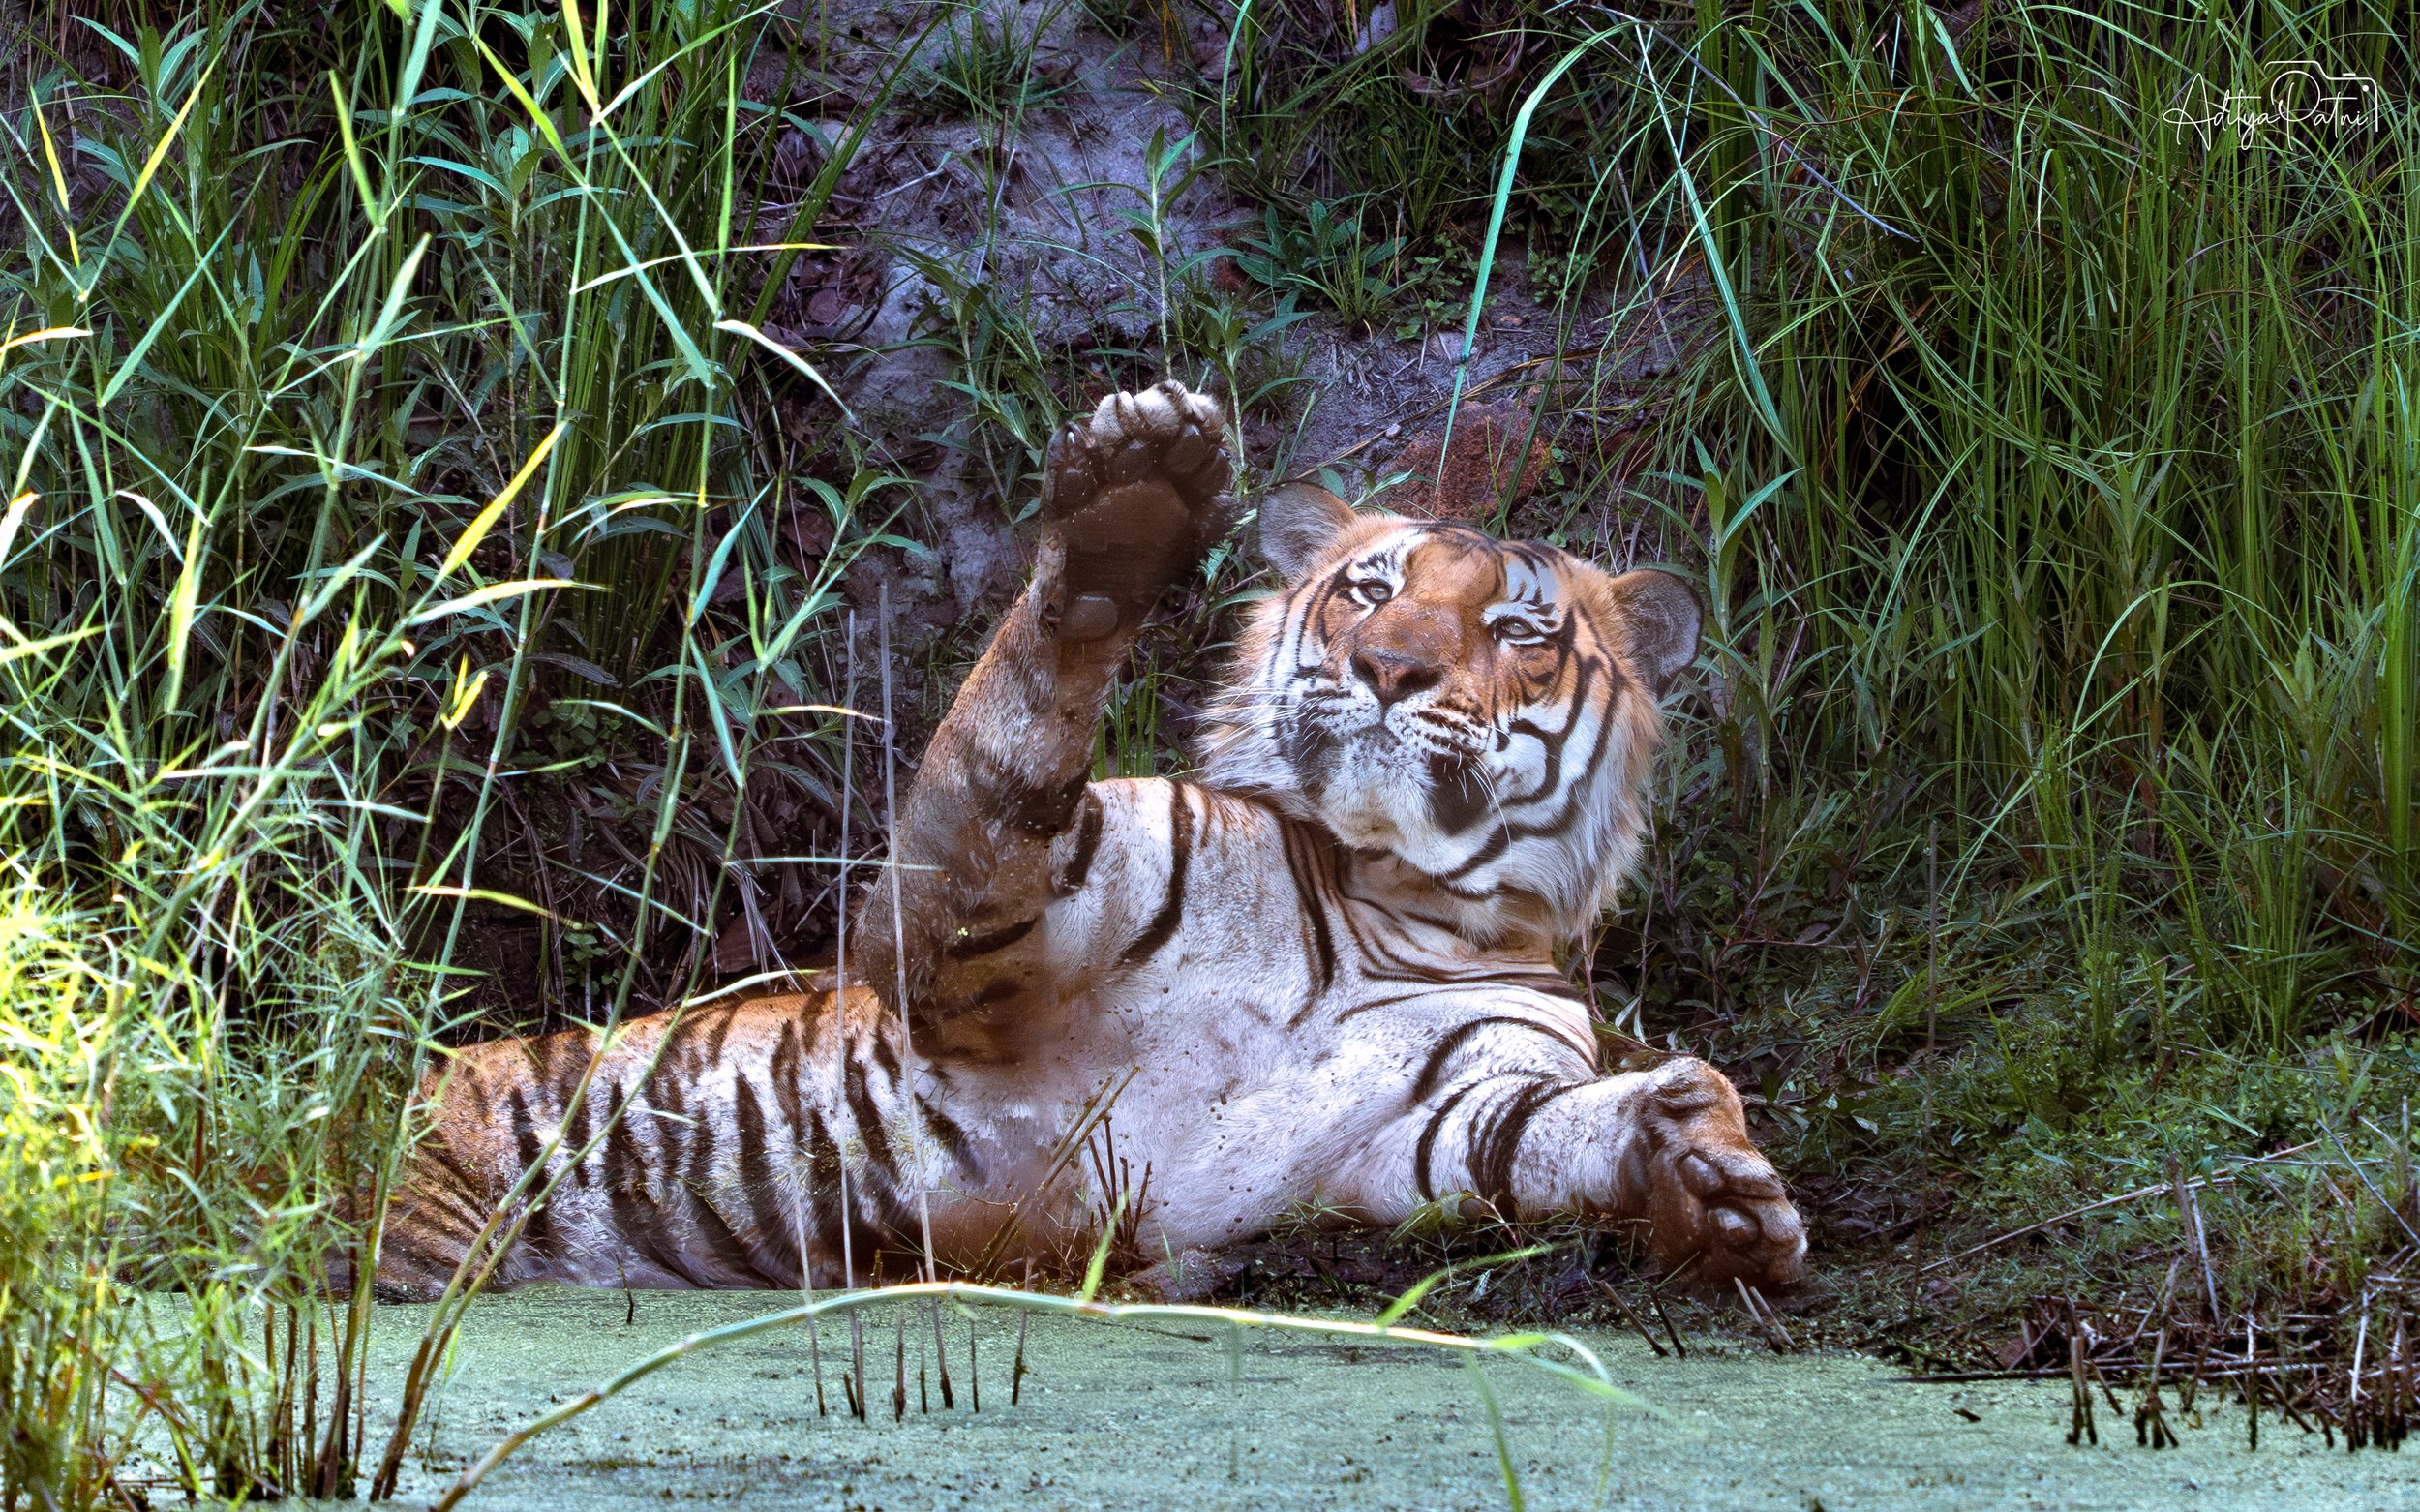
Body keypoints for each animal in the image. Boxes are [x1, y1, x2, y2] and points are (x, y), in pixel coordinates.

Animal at [376, 379, 1807, 1301]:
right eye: (1369, 587)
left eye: (1514, 628)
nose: (1392, 667)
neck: (1387, 894)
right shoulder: (972, 930)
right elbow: (1011, 734)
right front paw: (1129, 509)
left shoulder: (1432, 1117)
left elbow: (1541, 1134)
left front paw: (1704, 1177)